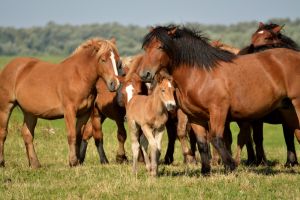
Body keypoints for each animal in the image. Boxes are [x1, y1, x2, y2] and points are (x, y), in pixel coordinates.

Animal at [0, 37, 120, 167]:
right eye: (103, 59)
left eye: (117, 60)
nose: (115, 84)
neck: (78, 76)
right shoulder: (69, 111)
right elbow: (71, 136)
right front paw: (72, 161)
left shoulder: (84, 114)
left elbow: (78, 136)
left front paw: (77, 162)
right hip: (6, 107)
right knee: (3, 133)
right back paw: (2, 163)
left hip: (30, 112)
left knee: (27, 134)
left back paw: (35, 164)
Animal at [139, 25, 300, 174]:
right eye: (146, 47)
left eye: (161, 46)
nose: (145, 74)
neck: (201, 74)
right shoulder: (195, 117)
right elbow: (202, 143)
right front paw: (205, 171)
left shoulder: (218, 111)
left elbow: (216, 138)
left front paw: (231, 166)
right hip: (289, 111)